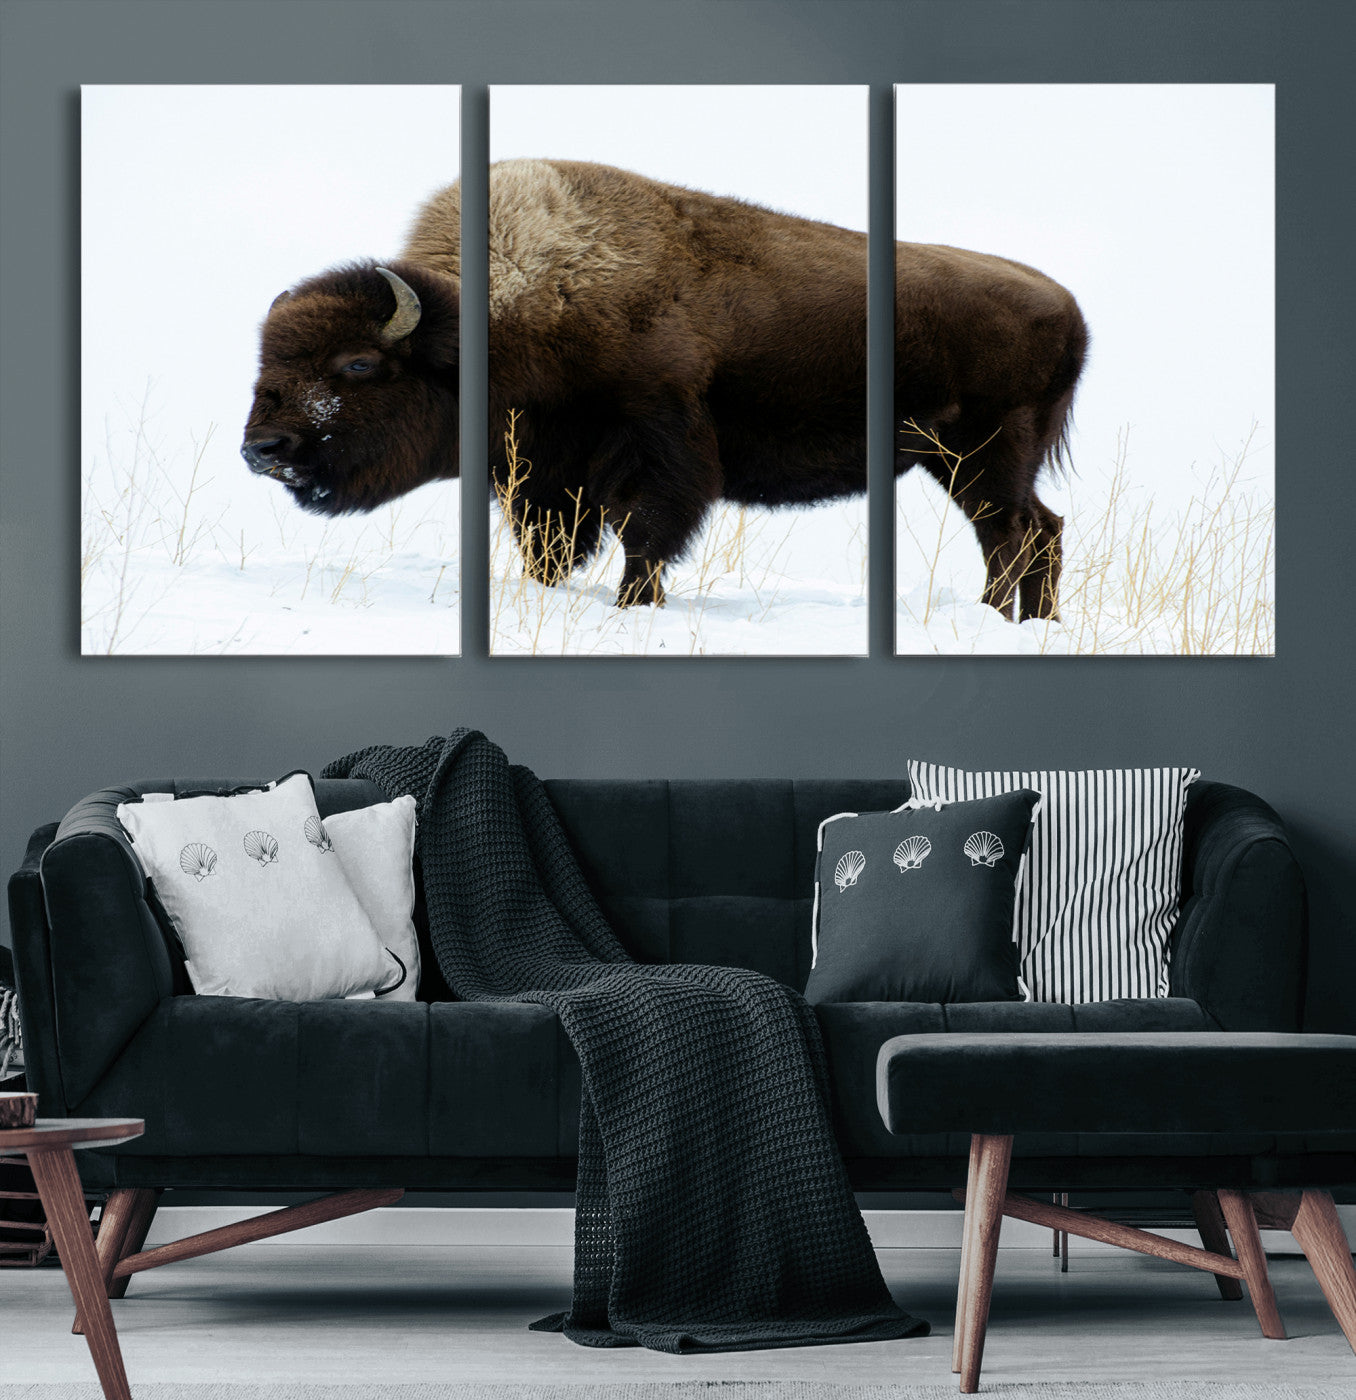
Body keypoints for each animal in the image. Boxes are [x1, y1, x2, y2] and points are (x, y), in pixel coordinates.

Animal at [243, 158, 1086, 617]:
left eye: (357, 365)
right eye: (268, 362)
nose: (263, 449)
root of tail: (1068, 306)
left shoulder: (658, 449)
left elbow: (646, 536)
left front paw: (633, 607)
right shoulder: (541, 477)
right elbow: (552, 546)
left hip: (985, 453)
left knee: (1013, 536)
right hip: (960, 461)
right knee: (1035, 532)